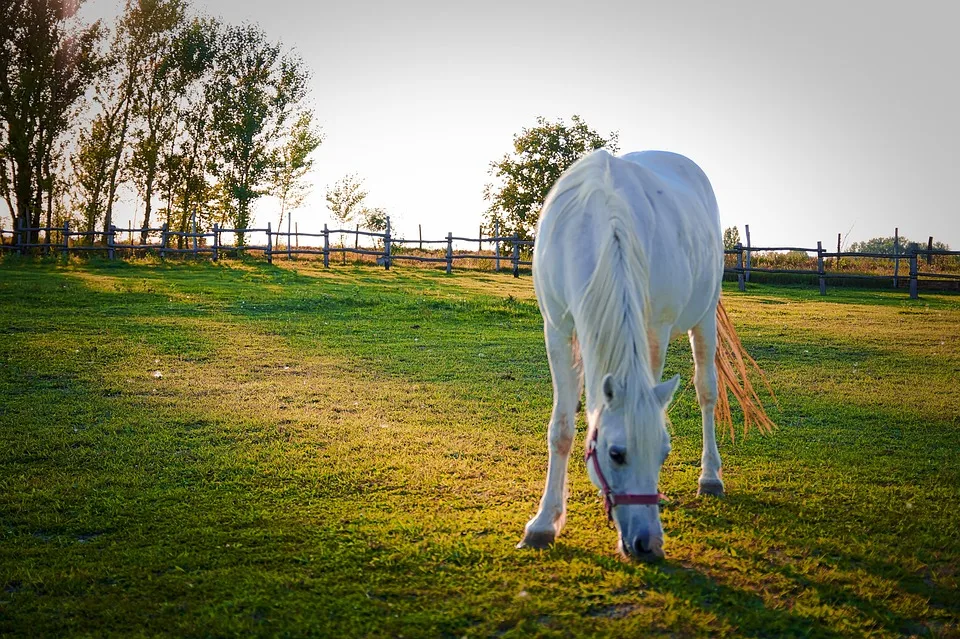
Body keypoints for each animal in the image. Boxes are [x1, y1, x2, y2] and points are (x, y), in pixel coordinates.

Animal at [516, 150, 772, 560]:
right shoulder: (556, 328)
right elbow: (562, 429)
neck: (597, 227)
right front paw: (543, 525)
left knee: (707, 391)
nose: (646, 543)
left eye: (663, 453)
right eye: (616, 454)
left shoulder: (656, 329)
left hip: (704, 318)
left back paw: (710, 477)